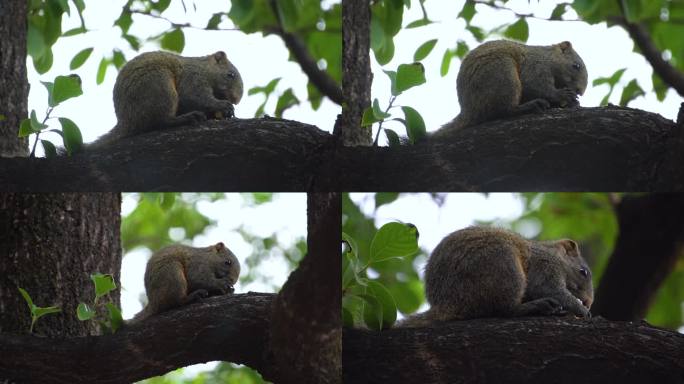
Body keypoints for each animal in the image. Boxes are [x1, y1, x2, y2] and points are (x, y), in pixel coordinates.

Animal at [89, 50, 242, 148]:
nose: (235, 99)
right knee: (160, 120)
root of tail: (127, 122)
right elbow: (194, 96)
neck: (204, 69)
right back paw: (186, 118)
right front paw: (223, 106)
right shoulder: (193, 78)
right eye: (230, 75)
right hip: (159, 85)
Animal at [400, 226, 592, 328]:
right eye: (583, 272)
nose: (589, 302)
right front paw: (582, 310)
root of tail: (446, 305)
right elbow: (551, 289)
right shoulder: (544, 266)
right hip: (504, 267)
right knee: (504, 309)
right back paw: (539, 306)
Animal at [432, 40, 588, 136]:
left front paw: (573, 102)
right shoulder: (535, 66)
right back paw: (529, 106)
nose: (579, 91)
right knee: (503, 110)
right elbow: (536, 86)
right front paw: (563, 95)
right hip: (503, 74)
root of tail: (468, 111)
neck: (548, 58)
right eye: (576, 66)